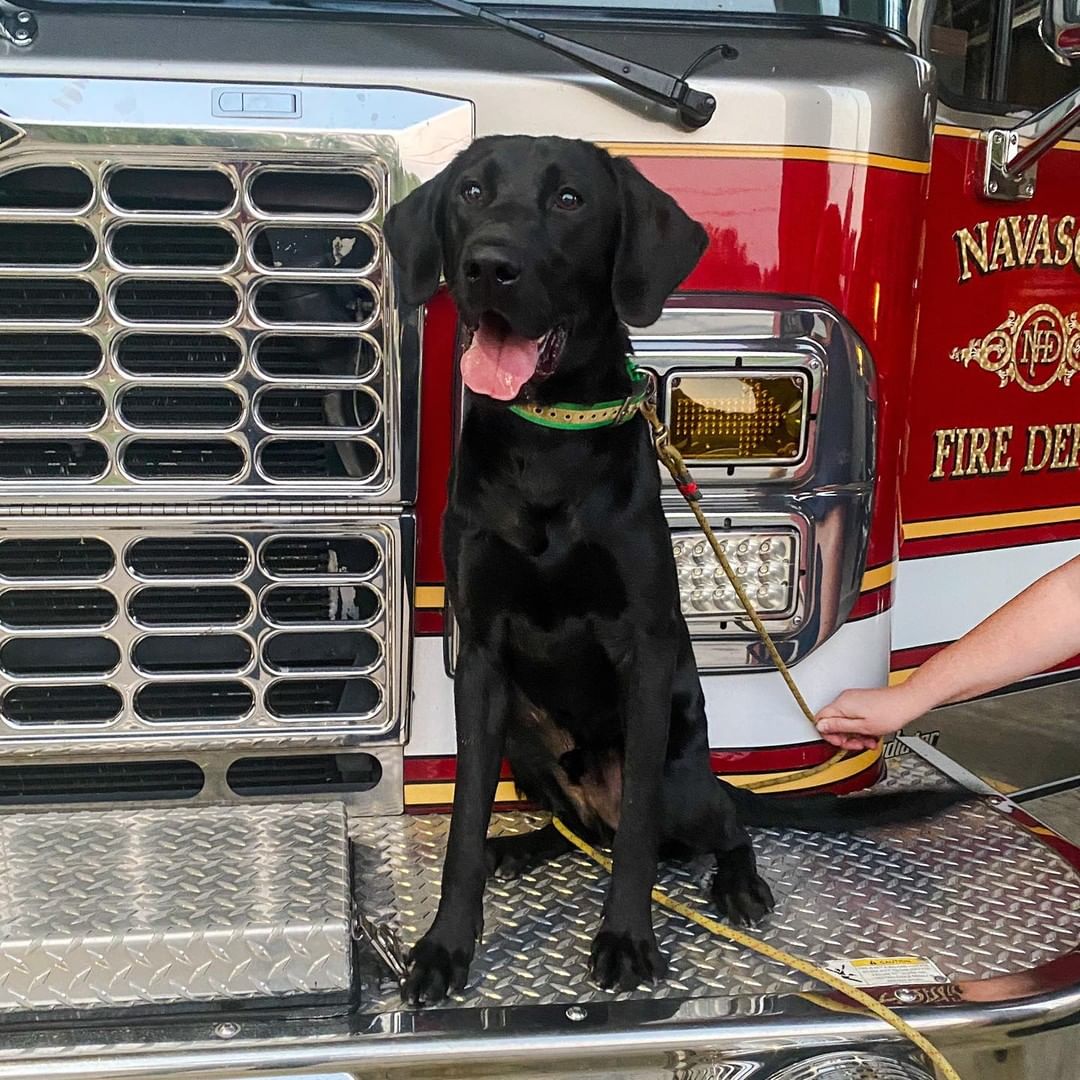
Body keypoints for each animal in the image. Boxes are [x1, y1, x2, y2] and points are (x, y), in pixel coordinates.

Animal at [384, 135, 959, 1002]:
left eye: (570, 200)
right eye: (472, 193)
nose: (488, 265)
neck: (546, 441)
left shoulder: (645, 651)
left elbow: (634, 847)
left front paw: (626, 939)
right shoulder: (480, 657)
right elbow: (462, 820)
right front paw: (446, 946)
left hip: (687, 783)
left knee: (705, 825)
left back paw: (739, 883)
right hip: (526, 740)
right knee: (575, 826)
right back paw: (515, 847)